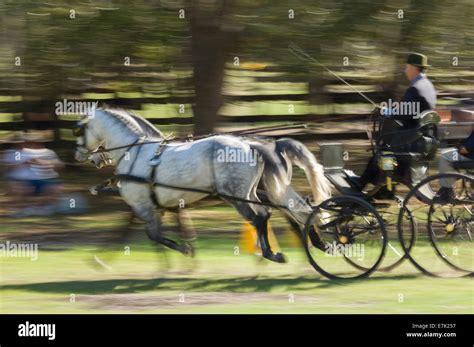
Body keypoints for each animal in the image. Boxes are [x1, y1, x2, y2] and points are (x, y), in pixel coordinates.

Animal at [75, 109, 334, 264]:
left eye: (79, 130)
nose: (80, 156)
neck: (135, 152)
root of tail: (251, 146)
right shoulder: (160, 206)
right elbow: (156, 232)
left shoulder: (142, 205)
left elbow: (152, 234)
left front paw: (185, 250)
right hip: (250, 192)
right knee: (290, 210)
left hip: (235, 195)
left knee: (262, 216)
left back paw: (272, 253)